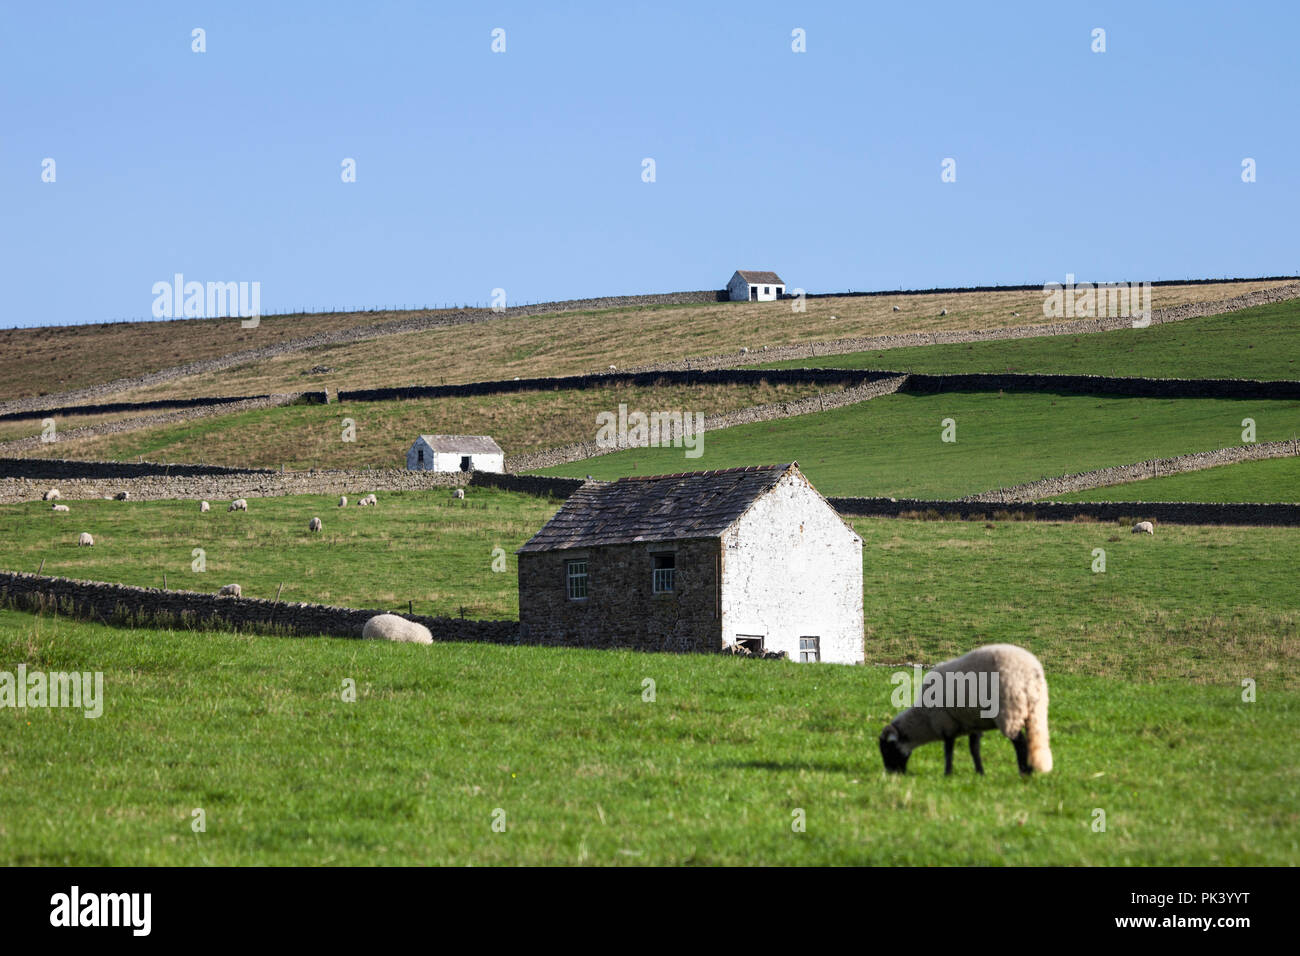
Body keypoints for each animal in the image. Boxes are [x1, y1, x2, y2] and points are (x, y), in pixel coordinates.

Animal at [878, 642, 1050, 780]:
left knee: (1020, 742)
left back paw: (1024, 772)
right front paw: (980, 773)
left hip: (1010, 711)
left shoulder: (945, 723)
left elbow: (948, 750)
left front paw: (947, 774)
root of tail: (1030, 671)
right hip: (1037, 710)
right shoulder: (973, 723)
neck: (925, 719)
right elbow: (974, 749)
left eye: (887, 749)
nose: (892, 773)